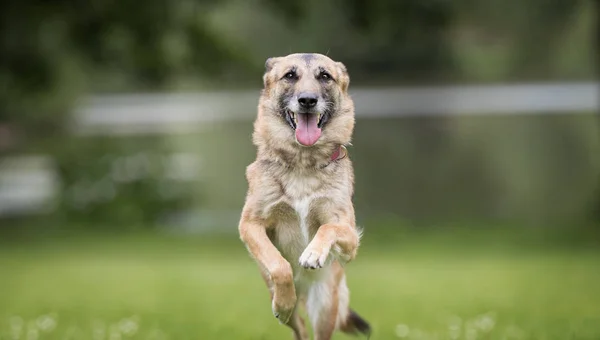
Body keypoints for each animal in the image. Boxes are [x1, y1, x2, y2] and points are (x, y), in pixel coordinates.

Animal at [238, 53, 370, 340]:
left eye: (325, 76)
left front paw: (313, 253)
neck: (302, 163)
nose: (307, 100)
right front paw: (284, 301)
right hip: (285, 308)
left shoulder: (350, 239)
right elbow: (279, 265)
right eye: (290, 75)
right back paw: (286, 304)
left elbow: (328, 227)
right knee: (298, 328)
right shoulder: (250, 225)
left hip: (325, 306)